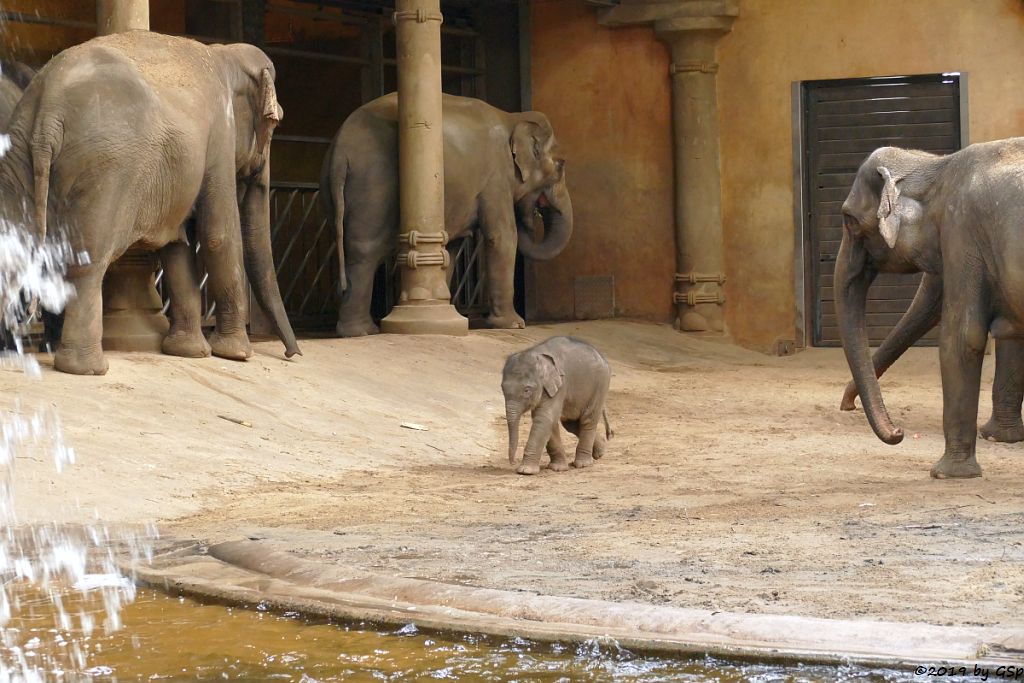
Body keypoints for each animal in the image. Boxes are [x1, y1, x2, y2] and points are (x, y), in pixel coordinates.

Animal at [0, 30, 299, 374]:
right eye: (273, 124)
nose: (292, 354)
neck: (225, 54)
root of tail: (48, 110)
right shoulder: (220, 136)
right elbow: (218, 235)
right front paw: (237, 354)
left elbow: (176, 246)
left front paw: (189, 352)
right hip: (104, 170)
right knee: (87, 262)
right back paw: (88, 368)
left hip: (18, 157)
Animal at [321, 92, 577, 337]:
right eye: (561, 165)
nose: (532, 215)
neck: (513, 117)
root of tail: (341, 150)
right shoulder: (496, 177)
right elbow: (502, 237)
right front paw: (513, 325)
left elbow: (452, 249)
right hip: (373, 185)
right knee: (365, 251)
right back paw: (360, 332)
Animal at [501, 335, 610, 475]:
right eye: (502, 388)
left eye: (527, 390)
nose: (513, 463)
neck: (537, 354)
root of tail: (601, 356)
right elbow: (547, 421)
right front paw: (557, 468)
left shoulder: (560, 385)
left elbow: (545, 418)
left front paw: (526, 471)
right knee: (572, 424)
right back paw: (600, 452)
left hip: (600, 385)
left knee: (587, 420)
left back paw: (583, 464)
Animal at [835, 140, 1024, 481]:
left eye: (849, 220)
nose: (898, 432)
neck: (936, 165)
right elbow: (1010, 331)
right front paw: (999, 438)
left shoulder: (962, 233)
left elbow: (962, 337)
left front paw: (947, 473)